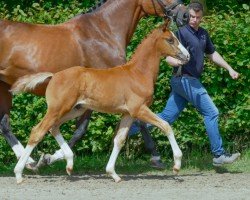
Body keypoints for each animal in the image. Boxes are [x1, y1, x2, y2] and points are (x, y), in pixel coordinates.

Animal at [0, 0, 188, 169]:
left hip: (5, 88)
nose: (185, 15)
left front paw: (48, 158)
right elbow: (86, 129)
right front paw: (157, 157)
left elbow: (83, 129)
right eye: (170, 40)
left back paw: (29, 162)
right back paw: (29, 163)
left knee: (5, 124)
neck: (103, 31)